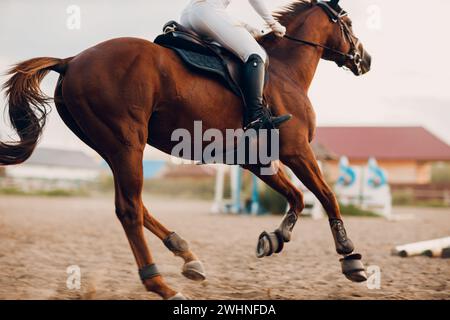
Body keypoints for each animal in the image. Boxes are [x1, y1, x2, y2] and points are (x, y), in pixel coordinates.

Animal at [1, 0, 370, 300]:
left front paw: (276, 237)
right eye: (349, 24)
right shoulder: (296, 150)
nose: (365, 59)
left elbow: (297, 196)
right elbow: (325, 195)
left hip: (112, 148)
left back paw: (186, 254)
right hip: (127, 144)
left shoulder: (256, 160)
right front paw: (350, 256)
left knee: (137, 204)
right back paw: (162, 285)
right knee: (129, 210)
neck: (283, 71)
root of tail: (72, 60)